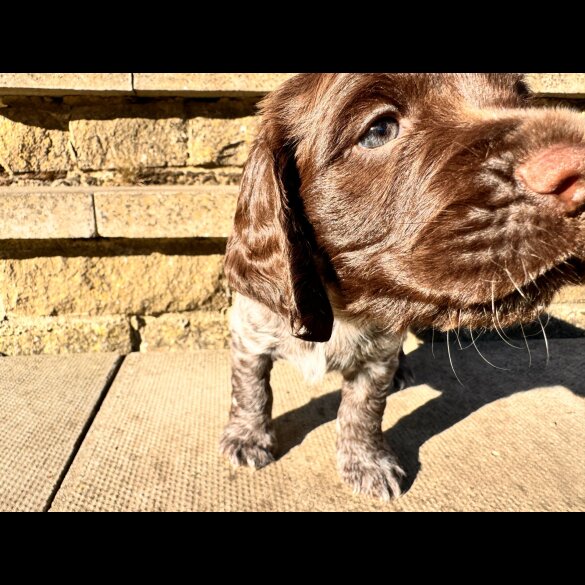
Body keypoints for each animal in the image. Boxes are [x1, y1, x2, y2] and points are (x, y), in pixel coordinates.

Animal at [220, 75, 584, 500]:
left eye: (520, 97)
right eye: (379, 130)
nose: (578, 168)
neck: (341, 306)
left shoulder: (376, 358)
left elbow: (362, 410)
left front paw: (367, 462)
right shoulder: (249, 335)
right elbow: (250, 390)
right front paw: (247, 437)